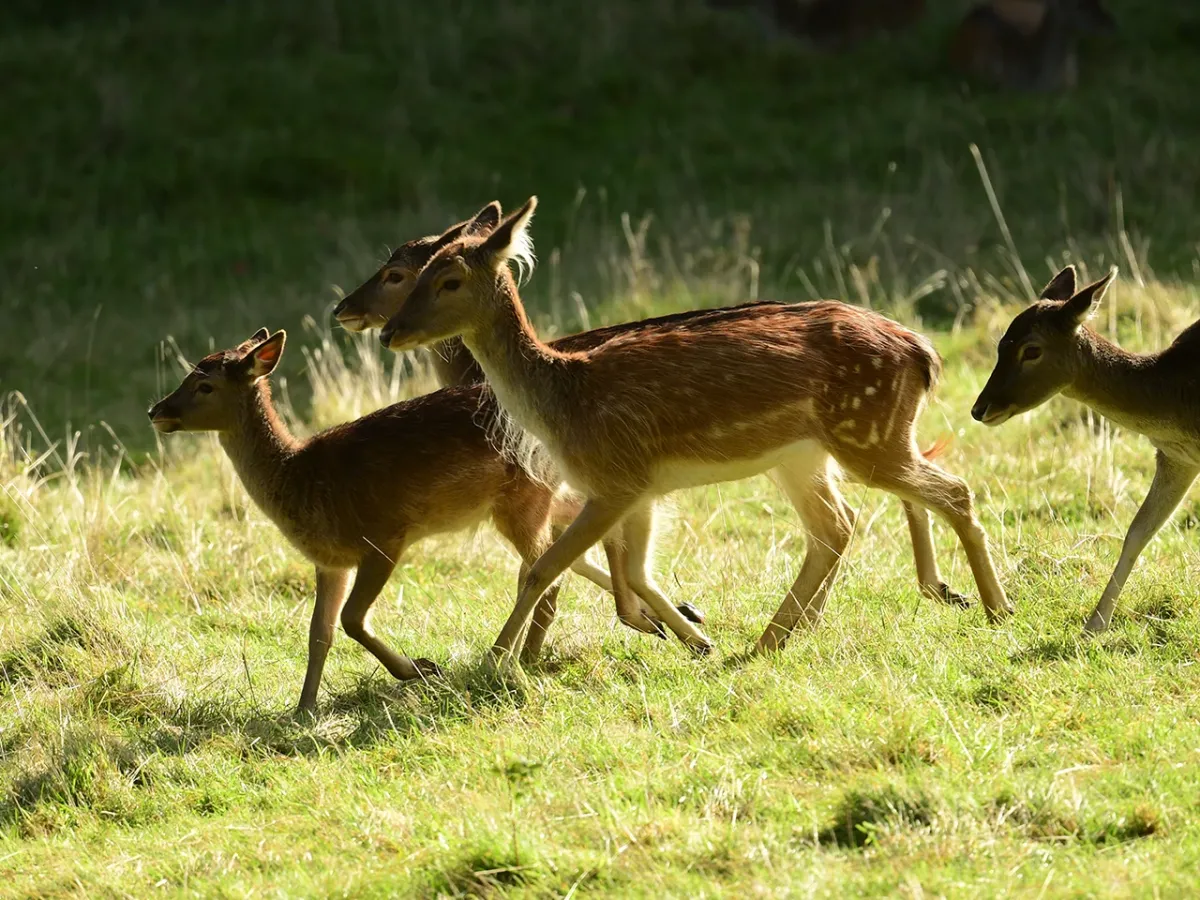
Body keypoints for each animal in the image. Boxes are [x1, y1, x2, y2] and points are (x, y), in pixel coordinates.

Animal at [147, 329, 671, 713]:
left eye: (204, 385)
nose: (156, 410)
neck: (299, 479)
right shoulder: (329, 561)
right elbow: (319, 633)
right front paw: (303, 708)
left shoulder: (383, 537)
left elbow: (353, 619)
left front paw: (419, 668)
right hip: (533, 496)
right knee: (588, 533)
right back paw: (654, 617)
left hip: (520, 502)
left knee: (550, 569)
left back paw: (529, 656)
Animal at [378, 197, 1012, 666]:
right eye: (415, 274)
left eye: (449, 280)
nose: (389, 332)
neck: (563, 401)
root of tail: (923, 352)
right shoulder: (640, 488)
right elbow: (635, 571)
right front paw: (694, 637)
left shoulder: (614, 478)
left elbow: (541, 568)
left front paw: (495, 662)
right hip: (806, 454)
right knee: (836, 524)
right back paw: (771, 638)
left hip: (867, 432)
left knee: (952, 491)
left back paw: (994, 607)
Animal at [972, 264, 1200, 633]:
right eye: (1001, 345)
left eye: (1031, 349)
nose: (980, 409)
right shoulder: (1176, 457)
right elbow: (1138, 531)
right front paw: (1094, 625)